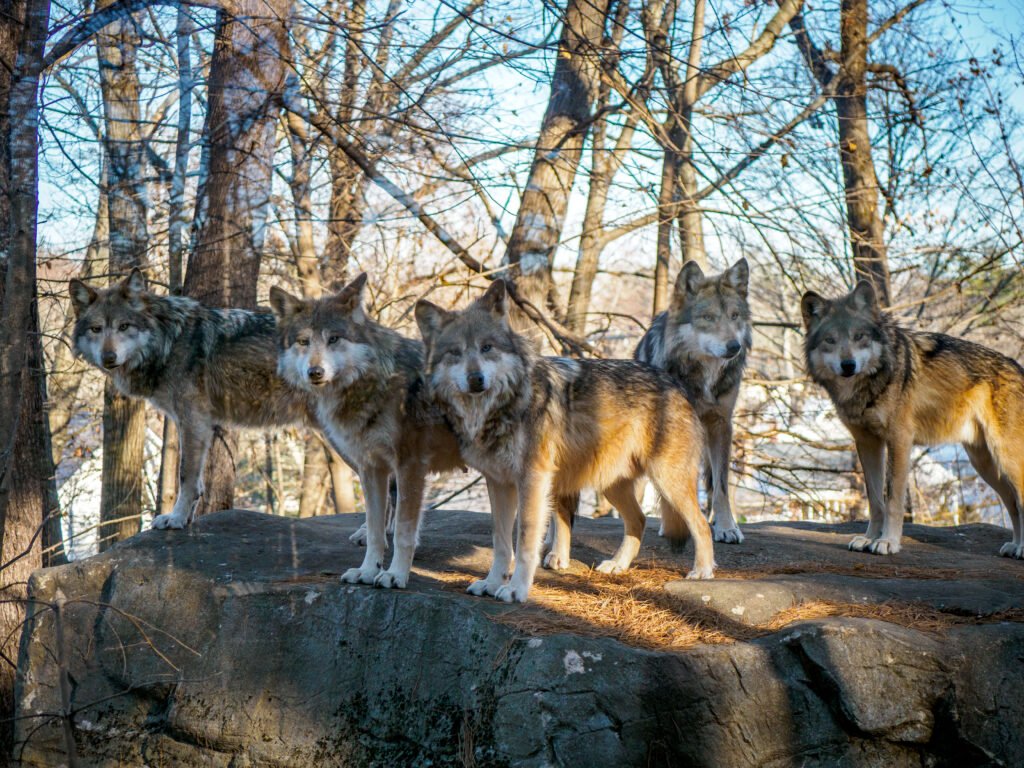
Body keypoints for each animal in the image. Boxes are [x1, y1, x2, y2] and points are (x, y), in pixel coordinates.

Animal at [70, 268, 313, 528]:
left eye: (124, 326)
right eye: (96, 329)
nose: (108, 357)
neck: (169, 340)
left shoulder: (193, 420)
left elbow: (185, 475)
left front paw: (176, 519)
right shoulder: (191, 423)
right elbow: (196, 483)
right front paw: (185, 518)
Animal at [270, 274, 466, 589]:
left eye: (334, 339)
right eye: (303, 341)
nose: (315, 372)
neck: (372, 385)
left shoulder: (410, 467)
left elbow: (403, 533)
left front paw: (396, 575)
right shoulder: (371, 467)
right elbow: (376, 530)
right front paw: (367, 570)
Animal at [413, 280, 712, 606]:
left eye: (487, 348)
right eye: (455, 353)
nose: (476, 379)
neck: (501, 407)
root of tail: (676, 384)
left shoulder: (533, 479)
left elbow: (526, 539)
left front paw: (516, 589)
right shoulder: (499, 483)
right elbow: (501, 541)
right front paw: (491, 584)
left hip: (667, 481)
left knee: (701, 524)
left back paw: (702, 573)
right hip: (611, 484)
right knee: (640, 521)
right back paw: (617, 565)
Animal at [630, 262, 753, 544]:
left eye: (734, 316)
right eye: (708, 318)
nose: (734, 346)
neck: (702, 375)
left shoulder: (721, 424)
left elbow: (721, 486)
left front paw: (727, 527)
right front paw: (673, 525)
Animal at [798, 280, 1024, 561]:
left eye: (859, 337)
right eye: (830, 340)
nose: (848, 365)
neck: (870, 384)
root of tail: (1018, 367)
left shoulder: (899, 441)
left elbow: (892, 499)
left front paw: (887, 542)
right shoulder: (867, 443)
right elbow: (875, 500)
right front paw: (869, 538)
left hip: (1006, 458)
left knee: (1020, 500)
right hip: (985, 464)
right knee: (1013, 502)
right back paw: (1016, 546)